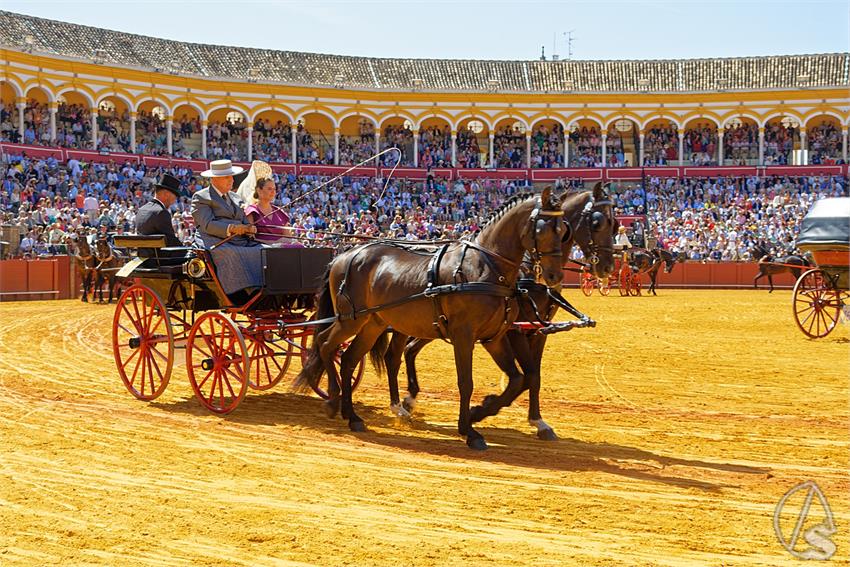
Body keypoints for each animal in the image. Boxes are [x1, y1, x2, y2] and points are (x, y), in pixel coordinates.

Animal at [294, 189, 568, 450]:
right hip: (350, 319)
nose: (554, 276)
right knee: (326, 344)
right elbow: (466, 382)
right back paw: (333, 400)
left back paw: (352, 416)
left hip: (373, 323)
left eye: (563, 230)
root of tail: (344, 255)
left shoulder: (496, 337)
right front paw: (469, 431)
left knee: (349, 358)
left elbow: (517, 379)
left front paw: (480, 410)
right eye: (542, 229)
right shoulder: (464, 335)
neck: (486, 268)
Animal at [384, 182, 616, 440]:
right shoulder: (515, 331)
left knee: (409, 350)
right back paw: (401, 404)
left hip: (430, 325)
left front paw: (537, 420)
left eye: (614, 223)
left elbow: (533, 376)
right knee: (395, 355)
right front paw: (481, 410)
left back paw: (409, 399)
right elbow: (527, 376)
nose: (608, 267)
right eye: (597, 223)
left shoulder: (537, 331)